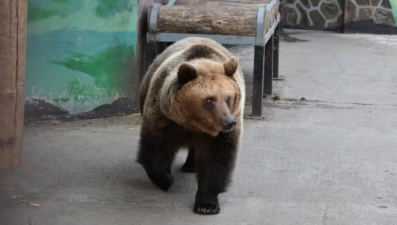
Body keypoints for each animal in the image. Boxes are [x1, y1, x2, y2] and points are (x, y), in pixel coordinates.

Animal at [138, 36, 246, 214]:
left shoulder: (219, 134)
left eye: (228, 98)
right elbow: (155, 150)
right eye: (210, 100)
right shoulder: (164, 118)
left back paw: (191, 165)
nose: (229, 122)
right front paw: (166, 179)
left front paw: (206, 205)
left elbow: (216, 160)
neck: (194, 123)